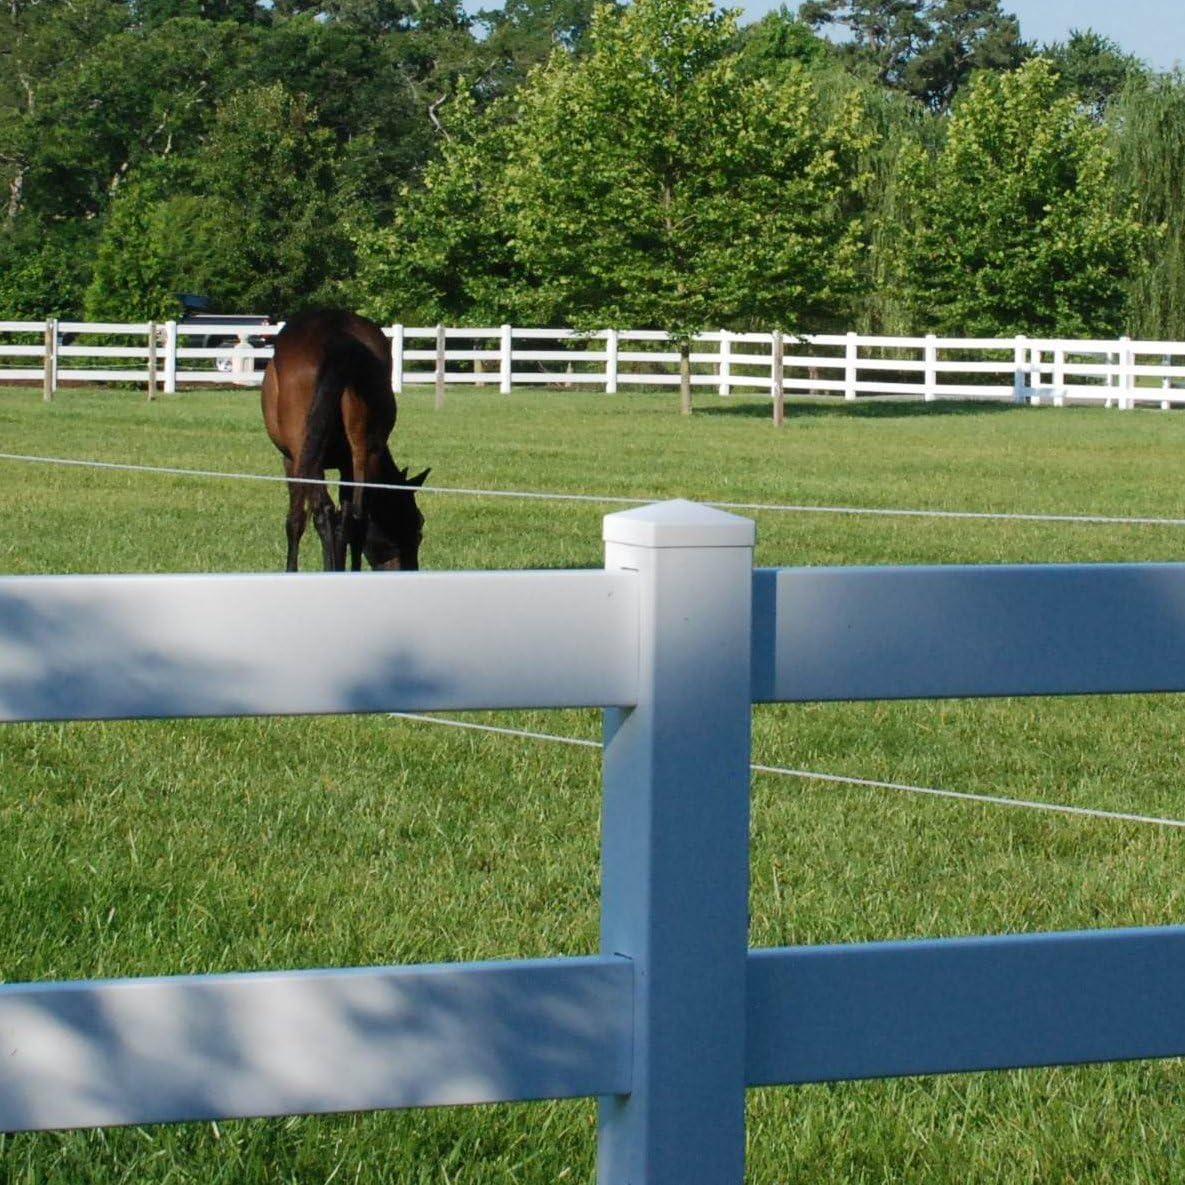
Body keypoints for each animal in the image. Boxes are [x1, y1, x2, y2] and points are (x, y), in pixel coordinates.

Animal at [260, 308, 431, 571]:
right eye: (418, 523)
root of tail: (338, 335)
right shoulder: (345, 464)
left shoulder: (290, 461)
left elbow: (297, 519)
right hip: (364, 452)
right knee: (357, 516)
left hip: (306, 455)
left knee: (323, 513)